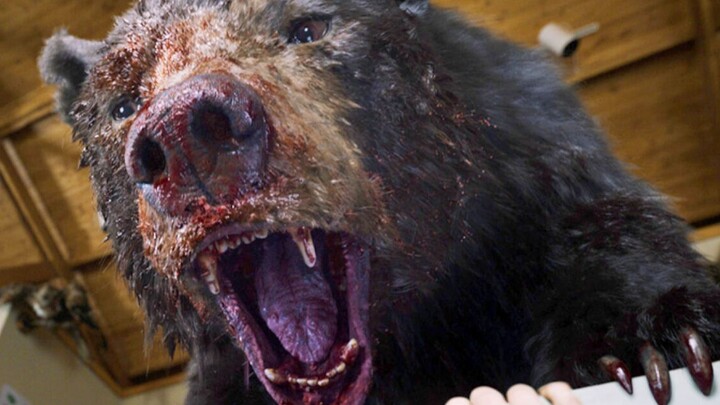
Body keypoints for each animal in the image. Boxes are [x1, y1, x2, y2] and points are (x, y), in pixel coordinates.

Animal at [39, 0, 720, 404]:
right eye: (122, 103)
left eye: (307, 27)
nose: (185, 131)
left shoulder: (531, 178)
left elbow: (605, 234)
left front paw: (647, 342)